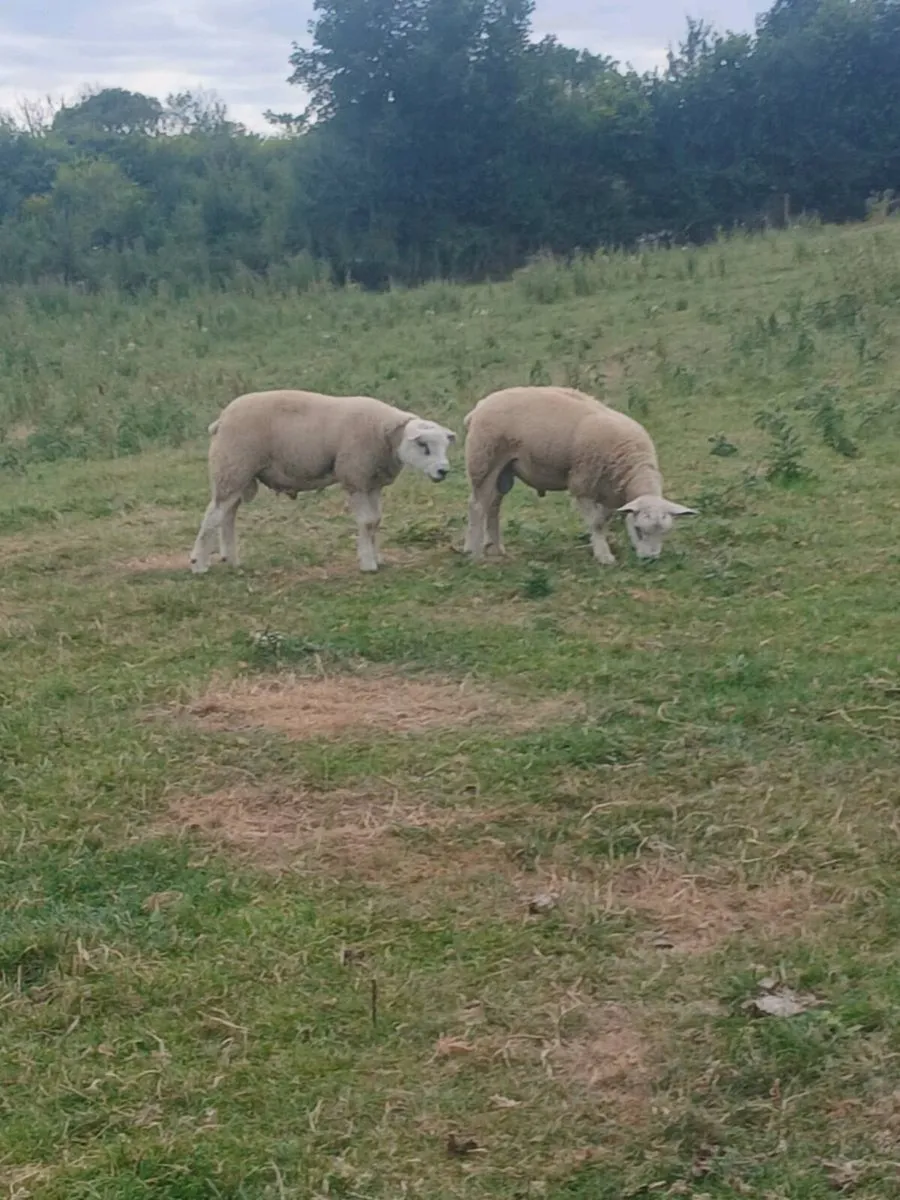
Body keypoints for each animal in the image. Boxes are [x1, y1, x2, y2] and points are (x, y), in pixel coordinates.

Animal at [189, 389, 456, 574]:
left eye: (445, 446)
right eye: (423, 445)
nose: (443, 471)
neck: (385, 434)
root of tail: (221, 420)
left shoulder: (371, 482)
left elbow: (375, 521)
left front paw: (376, 557)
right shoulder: (355, 478)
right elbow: (367, 522)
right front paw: (367, 563)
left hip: (238, 474)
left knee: (228, 513)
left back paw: (231, 559)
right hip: (232, 466)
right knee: (213, 515)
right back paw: (198, 564)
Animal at [462, 386, 696, 565]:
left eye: (665, 532)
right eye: (639, 530)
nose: (650, 560)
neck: (633, 465)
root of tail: (478, 407)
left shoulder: (610, 493)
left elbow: (604, 519)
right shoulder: (582, 483)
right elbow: (597, 523)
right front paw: (604, 556)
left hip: (504, 471)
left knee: (493, 505)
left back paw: (496, 547)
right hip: (484, 460)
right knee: (477, 506)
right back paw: (474, 553)